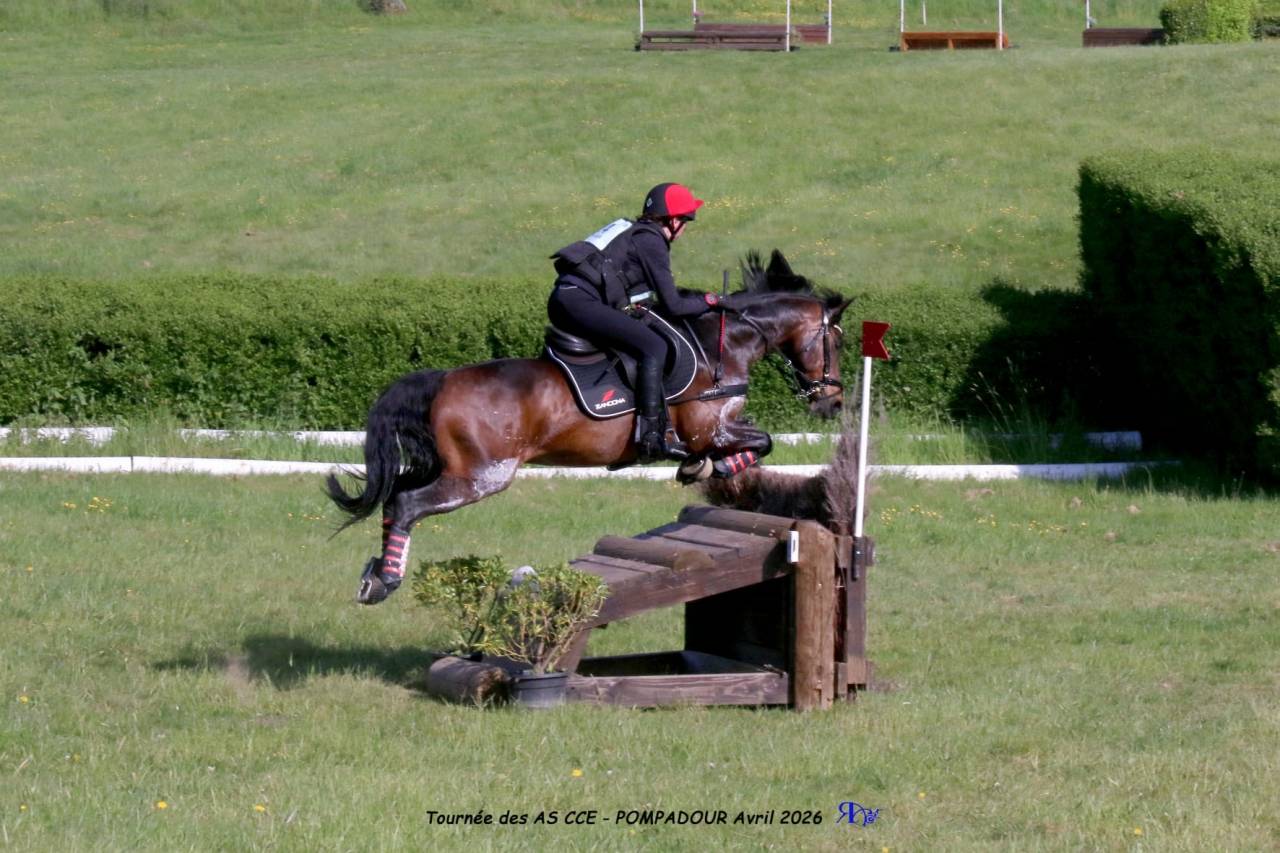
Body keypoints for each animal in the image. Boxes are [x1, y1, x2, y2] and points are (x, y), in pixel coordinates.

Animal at [326, 249, 851, 604]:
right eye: (836, 342)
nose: (833, 401)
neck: (722, 343)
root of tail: (443, 380)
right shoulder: (711, 430)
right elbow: (762, 441)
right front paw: (707, 469)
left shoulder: (720, 428)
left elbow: (758, 441)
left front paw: (702, 469)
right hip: (482, 476)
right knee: (406, 504)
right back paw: (384, 581)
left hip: (455, 469)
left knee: (396, 497)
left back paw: (375, 573)